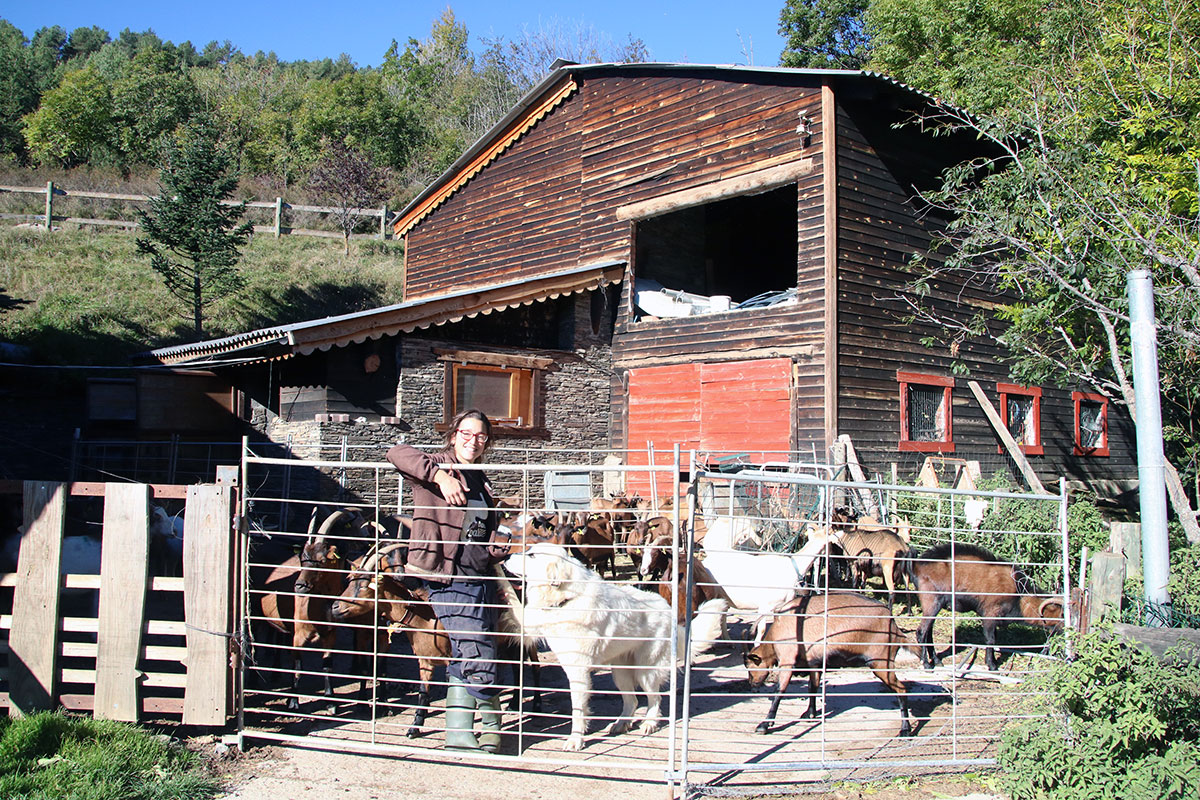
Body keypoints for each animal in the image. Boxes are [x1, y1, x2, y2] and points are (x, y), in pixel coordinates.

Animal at [504, 542, 720, 753]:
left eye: (532, 555)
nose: (505, 556)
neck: (566, 599)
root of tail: (668, 610)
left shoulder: (578, 671)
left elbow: (578, 710)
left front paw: (576, 740)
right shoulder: (528, 626)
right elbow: (513, 605)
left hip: (646, 671)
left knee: (655, 699)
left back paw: (649, 723)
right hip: (620, 672)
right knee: (632, 701)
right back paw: (620, 724)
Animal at [739, 592, 916, 734]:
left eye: (750, 667)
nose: (752, 685)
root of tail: (895, 627)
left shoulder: (787, 661)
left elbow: (779, 691)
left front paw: (764, 725)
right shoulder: (815, 663)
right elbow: (813, 687)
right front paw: (810, 713)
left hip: (881, 663)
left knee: (901, 689)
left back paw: (905, 729)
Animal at [907, 542, 1080, 671]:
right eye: (1063, 616)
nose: (1073, 635)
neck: (1018, 595)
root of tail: (917, 567)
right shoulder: (990, 613)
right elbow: (991, 639)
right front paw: (992, 665)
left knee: (928, 633)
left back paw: (937, 660)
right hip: (932, 602)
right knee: (921, 632)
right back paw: (927, 664)